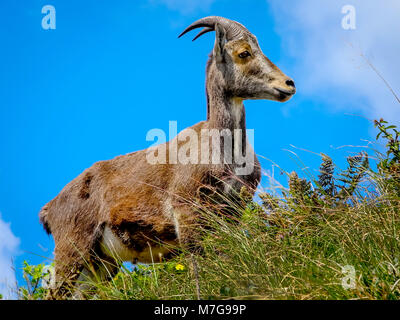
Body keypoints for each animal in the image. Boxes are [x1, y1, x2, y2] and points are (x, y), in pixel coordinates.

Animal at [39, 16, 296, 298]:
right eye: (244, 53)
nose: (288, 84)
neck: (226, 154)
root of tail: (49, 209)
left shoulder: (231, 214)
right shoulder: (187, 215)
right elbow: (197, 269)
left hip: (100, 265)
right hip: (72, 251)